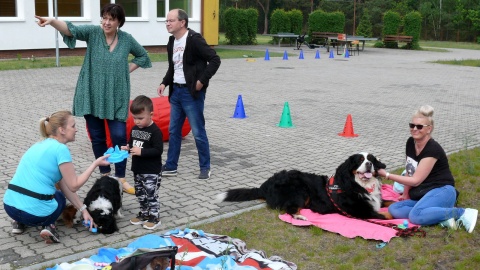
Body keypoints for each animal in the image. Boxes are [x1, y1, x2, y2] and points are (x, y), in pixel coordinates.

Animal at [216, 153, 392, 220]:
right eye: (360, 161)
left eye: (371, 159)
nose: (369, 164)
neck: (360, 185)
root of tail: (266, 184)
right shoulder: (361, 211)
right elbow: (387, 215)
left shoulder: (375, 201)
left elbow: (390, 202)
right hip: (300, 191)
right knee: (289, 209)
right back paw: (300, 217)